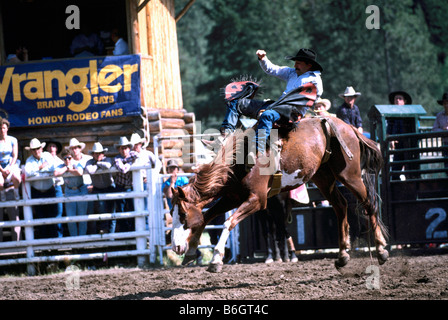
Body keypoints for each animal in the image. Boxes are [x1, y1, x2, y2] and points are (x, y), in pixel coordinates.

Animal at [170, 117, 386, 272]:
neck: (241, 161)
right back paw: (342, 256)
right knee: (341, 206)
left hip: (350, 175)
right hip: (324, 178)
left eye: (182, 214)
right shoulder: (233, 198)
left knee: (369, 204)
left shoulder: (258, 200)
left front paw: (215, 259)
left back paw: (381, 250)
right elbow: (206, 217)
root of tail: (348, 127)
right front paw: (191, 251)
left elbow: (227, 222)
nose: (176, 247)